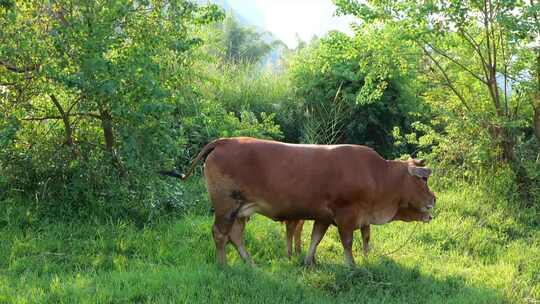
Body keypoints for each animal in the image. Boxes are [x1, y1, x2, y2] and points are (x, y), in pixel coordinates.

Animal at [163, 137, 434, 266]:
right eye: (423, 180)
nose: (434, 199)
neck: (376, 176)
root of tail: (225, 141)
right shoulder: (345, 216)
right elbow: (347, 243)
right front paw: (353, 266)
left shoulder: (324, 216)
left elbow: (315, 238)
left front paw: (308, 261)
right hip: (226, 206)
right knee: (220, 234)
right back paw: (224, 266)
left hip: (241, 210)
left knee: (236, 236)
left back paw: (250, 264)